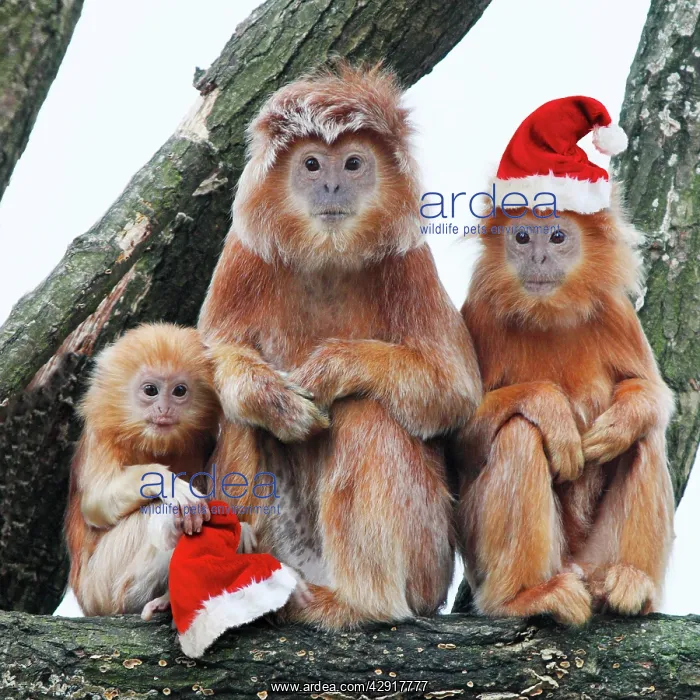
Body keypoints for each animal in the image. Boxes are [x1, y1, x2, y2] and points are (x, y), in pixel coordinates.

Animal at [64, 323, 222, 618]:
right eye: (151, 390)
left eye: (179, 391)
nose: (164, 409)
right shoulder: (100, 438)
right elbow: (96, 504)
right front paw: (170, 485)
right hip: (98, 586)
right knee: (157, 512)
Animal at [198, 63, 482, 629]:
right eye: (311, 164)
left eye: (353, 163)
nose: (331, 183)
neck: (327, 257)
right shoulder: (244, 254)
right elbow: (211, 361)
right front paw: (272, 398)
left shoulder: (408, 262)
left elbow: (456, 393)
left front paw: (332, 368)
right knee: (238, 417)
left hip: (428, 562)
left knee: (366, 412)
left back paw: (359, 603)